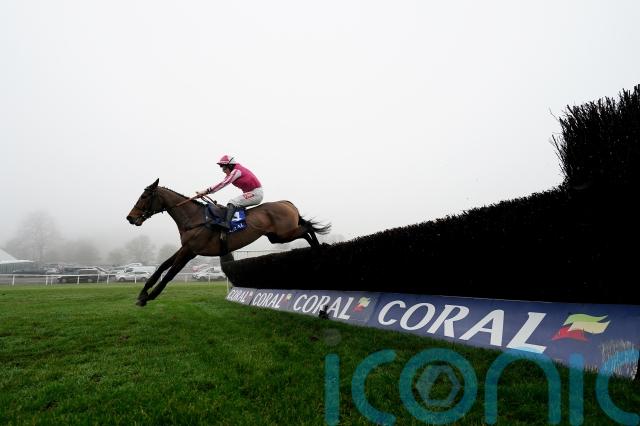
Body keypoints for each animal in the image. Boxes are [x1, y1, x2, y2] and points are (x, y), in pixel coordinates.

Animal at [126, 178, 330, 306]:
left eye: (144, 197)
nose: (130, 217)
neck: (195, 218)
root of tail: (287, 203)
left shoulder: (190, 251)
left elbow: (169, 274)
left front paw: (149, 297)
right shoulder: (185, 248)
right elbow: (161, 267)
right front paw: (143, 292)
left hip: (284, 234)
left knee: (308, 228)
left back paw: (319, 253)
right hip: (277, 236)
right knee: (306, 229)